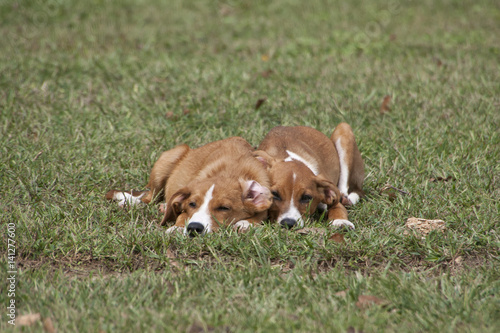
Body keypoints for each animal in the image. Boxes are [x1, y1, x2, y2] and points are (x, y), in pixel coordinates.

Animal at [103, 136, 272, 235]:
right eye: (192, 204)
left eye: (224, 208)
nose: (194, 228)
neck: (230, 173)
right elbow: (182, 215)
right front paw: (177, 227)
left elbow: (260, 216)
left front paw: (244, 223)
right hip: (166, 161)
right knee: (149, 197)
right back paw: (130, 201)